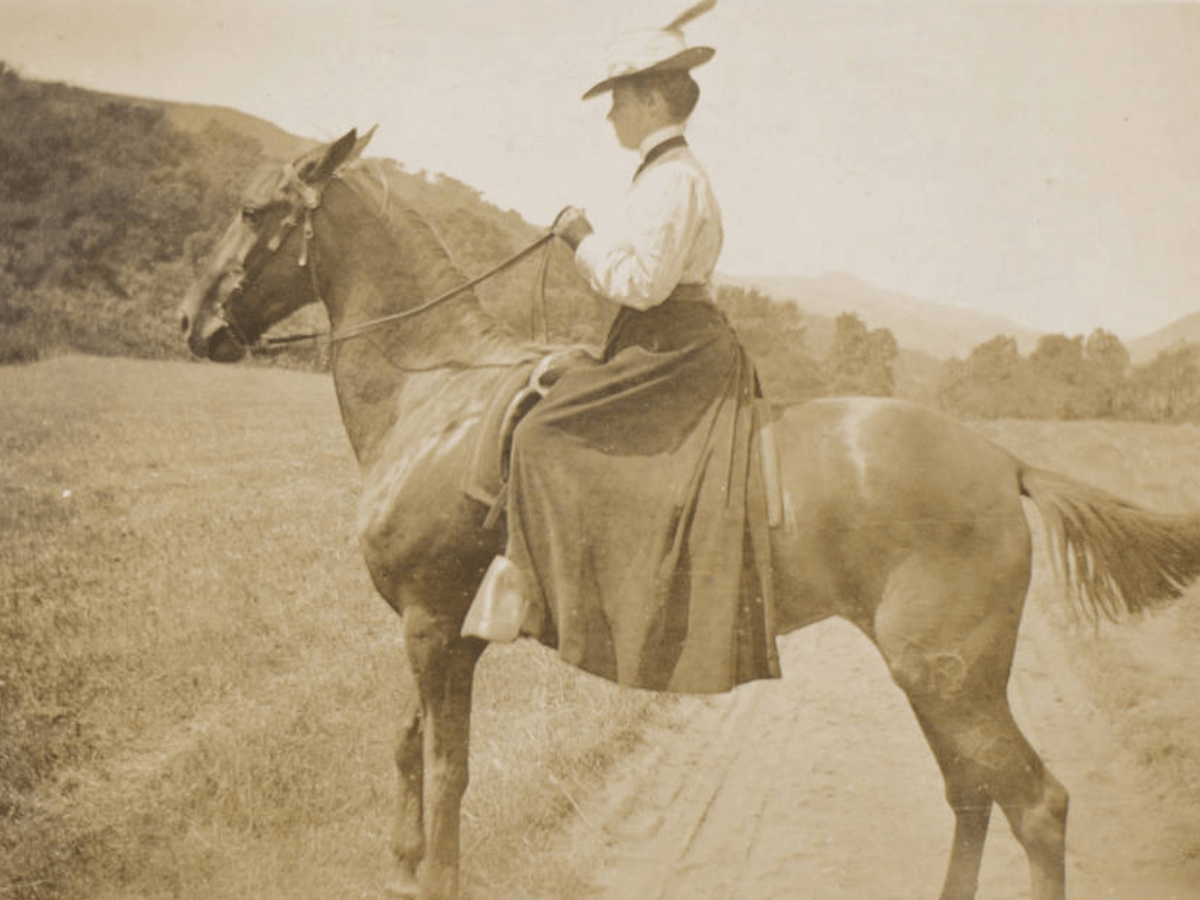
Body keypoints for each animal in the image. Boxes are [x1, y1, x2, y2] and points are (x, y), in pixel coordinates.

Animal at [177, 128, 1200, 900]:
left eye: (255, 211)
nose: (191, 322)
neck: (438, 395)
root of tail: (1004, 460)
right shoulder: (451, 632)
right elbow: (412, 746)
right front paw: (401, 863)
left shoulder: (430, 623)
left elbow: (445, 769)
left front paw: (430, 875)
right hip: (939, 680)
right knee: (971, 797)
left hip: (952, 677)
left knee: (1037, 805)